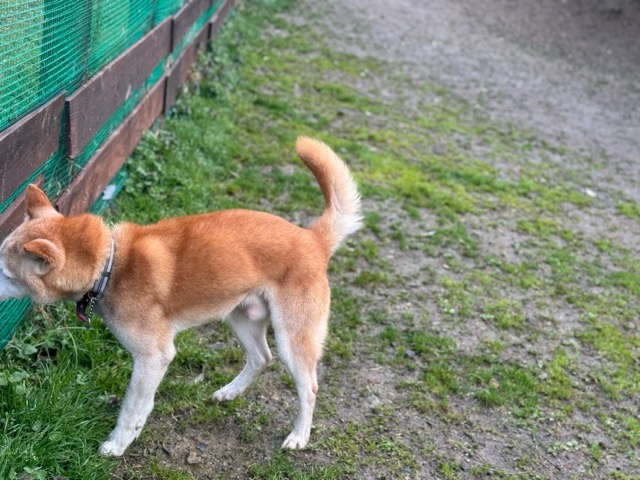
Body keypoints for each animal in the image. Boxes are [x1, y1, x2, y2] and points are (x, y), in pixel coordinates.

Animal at [0, 137, 362, 455]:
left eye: (5, 273)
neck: (110, 266)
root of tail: (312, 238)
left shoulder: (154, 356)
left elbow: (131, 407)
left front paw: (117, 444)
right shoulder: (151, 361)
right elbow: (142, 404)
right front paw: (133, 433)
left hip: (292, 338)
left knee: (308, 387)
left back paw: (299, 436)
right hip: (240, 318)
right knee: (261, 357)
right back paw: (230, 392)